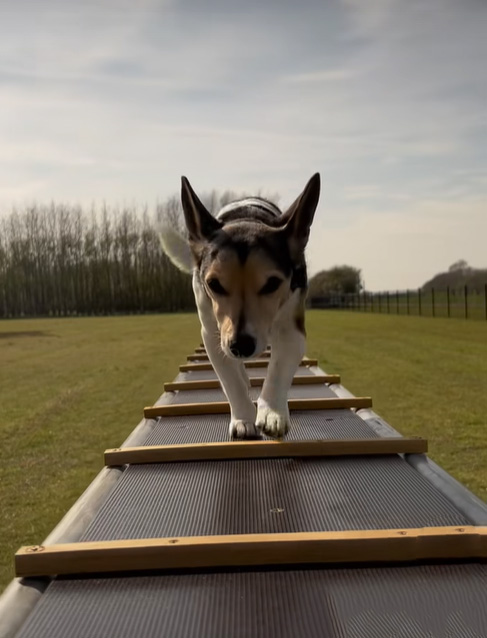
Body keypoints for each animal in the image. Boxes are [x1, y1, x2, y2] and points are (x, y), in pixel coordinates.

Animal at [159, 175, 320, 442]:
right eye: (214, 284)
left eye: (272, 283)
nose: (241, 346)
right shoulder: (214, 334)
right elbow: (231, 380)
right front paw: (244, 418)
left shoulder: (293, 329)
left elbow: (278, 371)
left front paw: (272, 412)